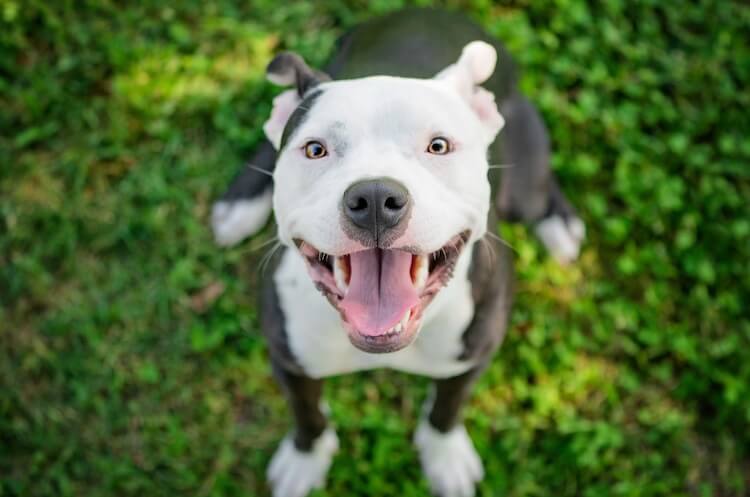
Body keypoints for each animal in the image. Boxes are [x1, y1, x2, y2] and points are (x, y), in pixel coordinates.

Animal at [212, 7, 588, 496]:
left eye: (438, 145)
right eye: (315, 149)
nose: (374, 198)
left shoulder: (472, 356)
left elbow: (447, 408)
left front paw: (445, 456)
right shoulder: (289, 360)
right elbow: (307, 414)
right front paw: (305, 459)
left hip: (525, 170)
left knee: (539, 190)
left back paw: (559, 224)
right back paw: (239, 205)